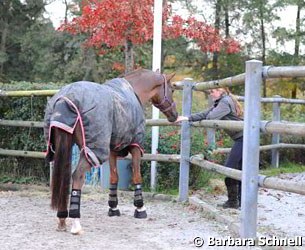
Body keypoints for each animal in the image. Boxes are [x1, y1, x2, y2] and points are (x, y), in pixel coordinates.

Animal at [42, 68, 176, 234]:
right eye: (172, 90)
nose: (174, 115)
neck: (133, 90)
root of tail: (66, 98)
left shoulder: (113, 149)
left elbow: (114, 177)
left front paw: (113, 208)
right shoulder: (136, 145)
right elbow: (136, 176)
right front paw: (140, 208)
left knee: (64, 176)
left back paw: (62, 219)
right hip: (94, 150)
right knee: (77, 176)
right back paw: (75, 222)